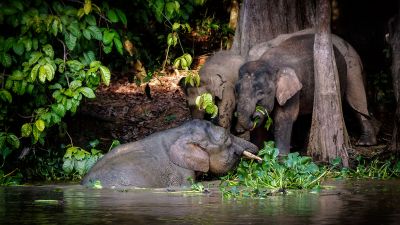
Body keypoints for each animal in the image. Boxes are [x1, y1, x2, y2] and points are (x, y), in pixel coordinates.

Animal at [234, 33, 378, 156]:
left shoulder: (293, 91)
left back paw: (364, 143)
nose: (255, 114)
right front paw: (257, 153)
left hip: (345, 72)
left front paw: (281, 158)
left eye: (260, 93)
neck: (270, 64)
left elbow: (284, 117)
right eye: (236, 91)